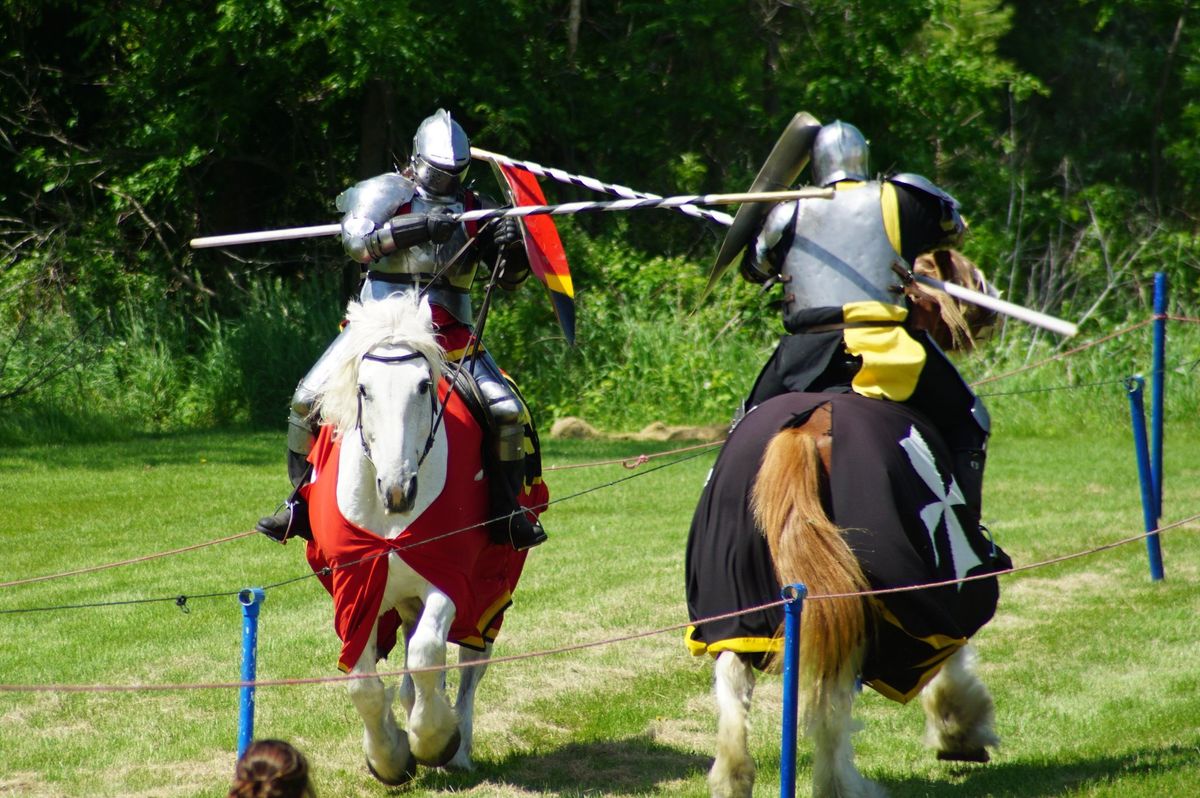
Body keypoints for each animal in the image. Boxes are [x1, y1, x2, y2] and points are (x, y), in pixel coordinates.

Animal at [304, 292, 540, 782]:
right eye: (363, 389)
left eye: (423, 386)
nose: (399, 489)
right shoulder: (357, 587)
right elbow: (363, 682)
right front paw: (389, 756)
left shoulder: (452, 578)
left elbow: (428, 653)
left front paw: (433, 739)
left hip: (490, 594)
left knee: (470, 664)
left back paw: (460, 747)